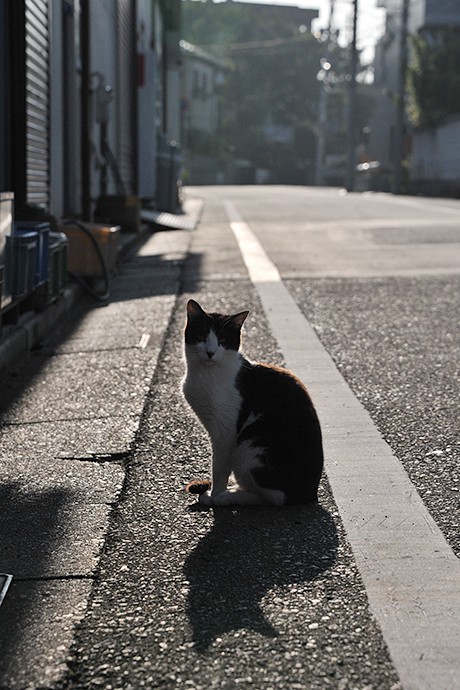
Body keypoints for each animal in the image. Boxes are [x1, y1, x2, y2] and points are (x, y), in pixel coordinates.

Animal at [182, 296, 324, 506]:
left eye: (223, 340)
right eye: (202, 336)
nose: (210, 352)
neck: (205, 374)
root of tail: (310, 494)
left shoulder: (226, 432)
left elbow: (219, 468)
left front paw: (215, 495)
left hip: (248, 448)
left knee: (275, 498)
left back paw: (227, 497)